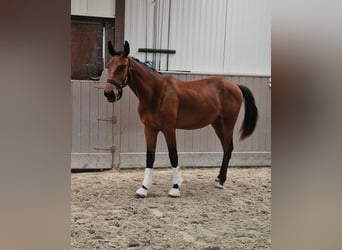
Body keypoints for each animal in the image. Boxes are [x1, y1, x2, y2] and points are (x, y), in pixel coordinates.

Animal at [104, 41, 260, 197]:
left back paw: (221, 182)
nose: (109, 93)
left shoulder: (169, 129)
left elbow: (173, 155)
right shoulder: (149, 129)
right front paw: (144, 188)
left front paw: (175, 187)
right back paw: (218, 179)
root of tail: (236, 86)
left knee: (228, 147)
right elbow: (150, 157)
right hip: (217, 123)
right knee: (225, 147)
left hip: (228, 122)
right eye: (108, 64)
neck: (157, 93)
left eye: (122, 66)